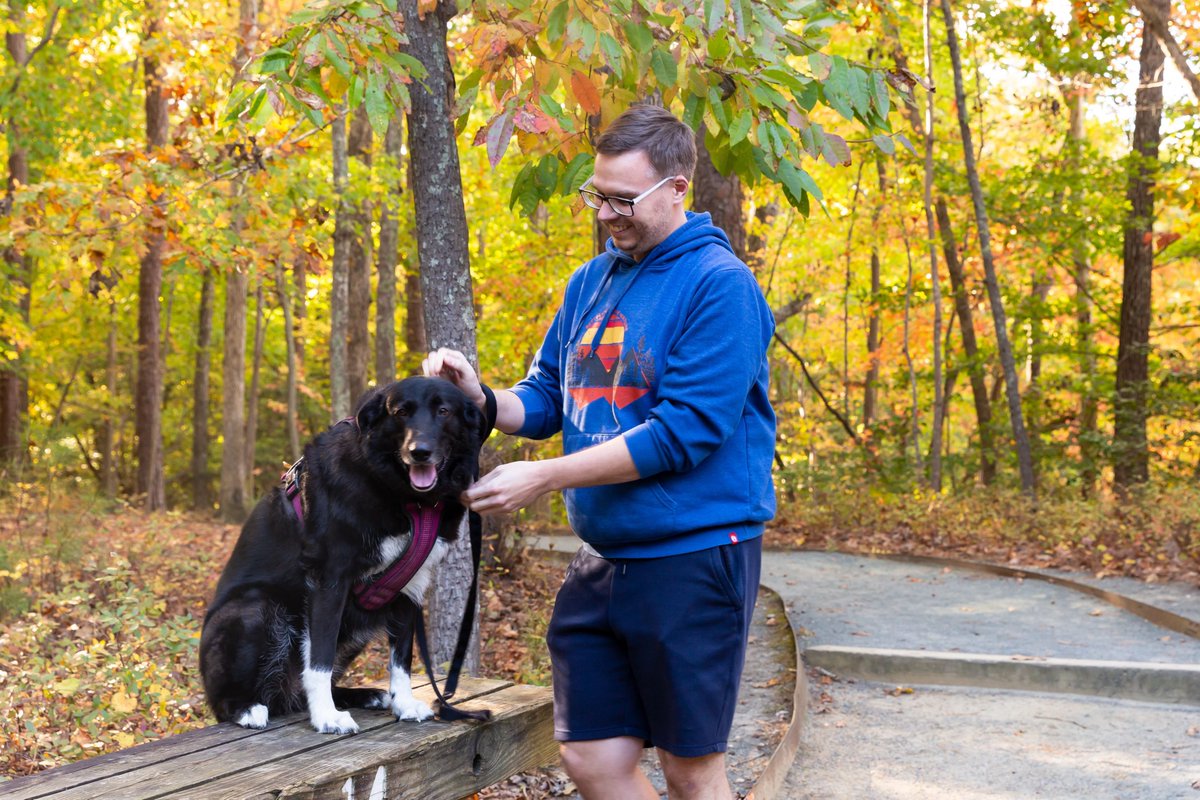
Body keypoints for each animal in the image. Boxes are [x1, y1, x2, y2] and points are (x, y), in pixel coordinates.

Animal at [201, 379, 487, 734]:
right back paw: (246, 708)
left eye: (444, 411)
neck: (409, 500)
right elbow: (319, 660)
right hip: (254, 610)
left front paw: (404, 704)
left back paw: (364, 695)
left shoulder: (411, 587)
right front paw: (326, 716)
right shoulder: (330, 580)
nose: (418, 451)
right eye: (401, 412)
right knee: (229, 700)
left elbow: (402, 659)